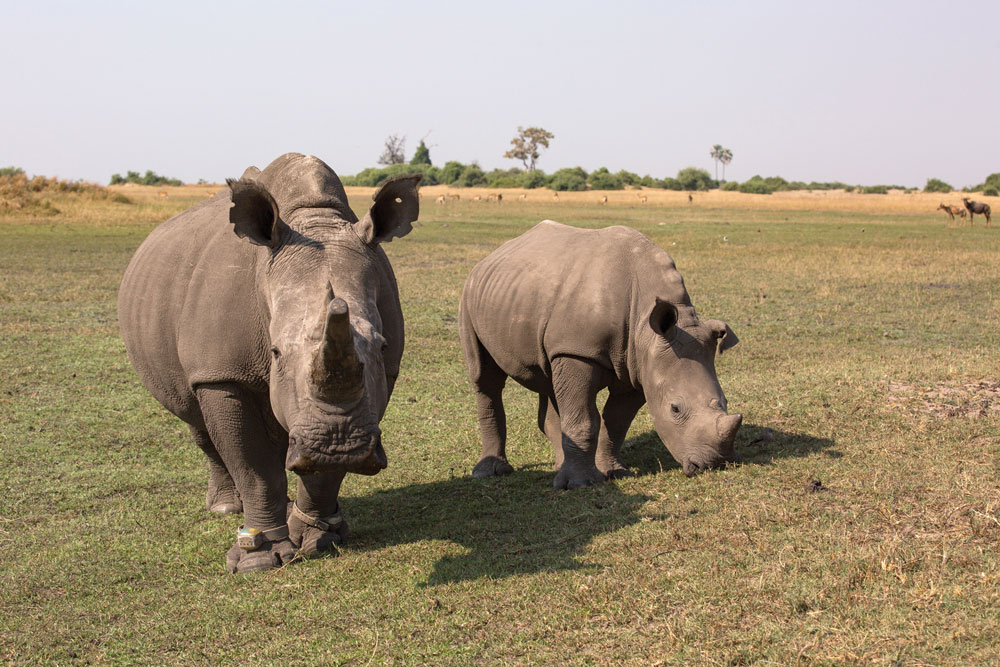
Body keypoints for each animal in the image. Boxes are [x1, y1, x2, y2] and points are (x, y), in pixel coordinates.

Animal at [119, 154, 420, 572]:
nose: (338, 444)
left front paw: (318, 539)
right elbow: (252, 466)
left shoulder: (383, 375)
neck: (313, 219)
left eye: (381, 344)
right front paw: (258, 558)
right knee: (197, 420)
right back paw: (226, 508)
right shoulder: (222, 374)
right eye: (275, 352)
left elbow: (323, 469)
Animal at [460, 222, 744, 488]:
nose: (714, 463)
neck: (646, 326)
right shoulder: (579, 352)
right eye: (675, 409)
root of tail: (491, 257)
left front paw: (614, 473)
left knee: (549, 378)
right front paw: (581, 484)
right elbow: (584, 420)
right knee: (485, 378)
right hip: (470, 295)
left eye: (725, 401)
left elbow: (617, 422)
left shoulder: (639, 367)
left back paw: (558, 467)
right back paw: (490, 472)